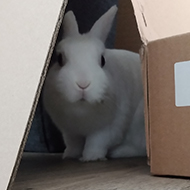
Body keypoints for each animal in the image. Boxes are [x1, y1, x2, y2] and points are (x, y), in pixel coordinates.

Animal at [43, 5, 147, 161]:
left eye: (103, 60)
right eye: (60, 59)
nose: (83, 84)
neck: (81, 111)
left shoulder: (107, 128)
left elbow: (96, 142)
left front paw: (91, 157)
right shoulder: (69, 131)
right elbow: (73, 143)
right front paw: (69, 155)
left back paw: (118, 152)